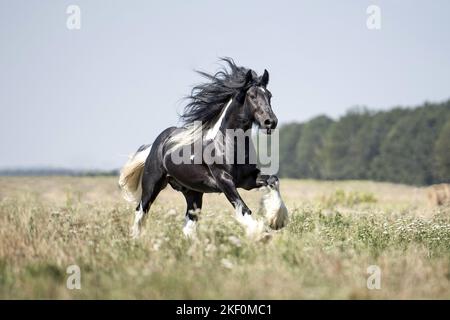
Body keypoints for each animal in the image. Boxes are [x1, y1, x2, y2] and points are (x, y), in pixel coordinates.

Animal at [118, 58, 288, 238]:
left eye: (269, 95)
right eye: (252, 96)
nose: (270, 122)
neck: (228, 143)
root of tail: (158, 143)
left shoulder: (248, 180)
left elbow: (273, 180)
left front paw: (276, 220)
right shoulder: (224, 180)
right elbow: (243, 208)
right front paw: (260, 234)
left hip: (193, 192)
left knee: (188, 225)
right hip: (152, 185)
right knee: (141, 211)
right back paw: (136, 239)